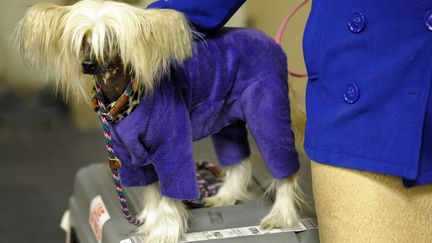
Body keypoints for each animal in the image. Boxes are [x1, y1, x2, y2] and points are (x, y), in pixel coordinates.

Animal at [15, 0, 302, 242]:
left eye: (110, 39)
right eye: (84, 39)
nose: (87, 65)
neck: (123, 95)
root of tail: (273, 43)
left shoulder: (171, 148)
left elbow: (169, 193)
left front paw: (165, 231)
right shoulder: (129, 156)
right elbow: (152, 194)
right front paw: (151, 224)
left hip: (267, 108)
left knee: (284, 169)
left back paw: (281, 215)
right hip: (226, 117)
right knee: (238, 160)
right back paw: (225, 196)